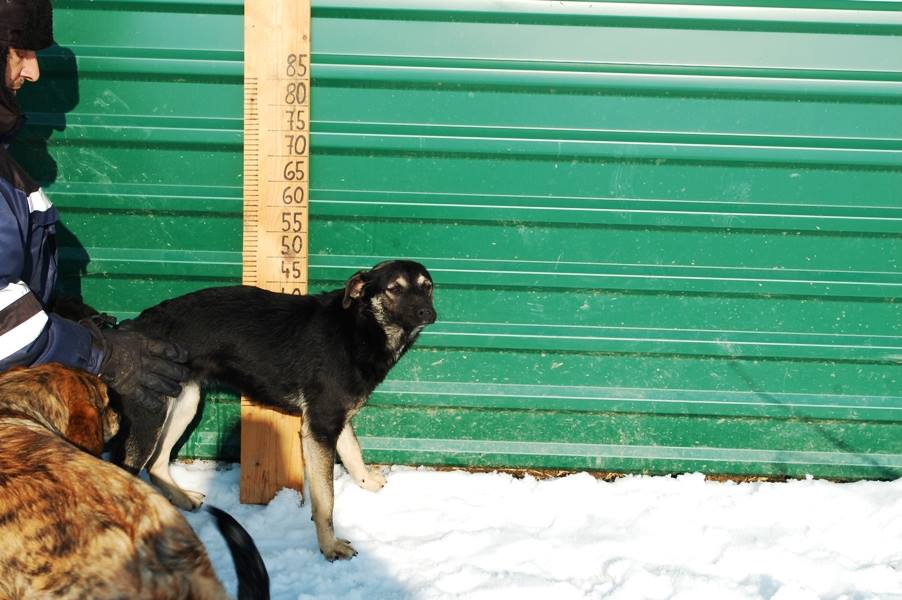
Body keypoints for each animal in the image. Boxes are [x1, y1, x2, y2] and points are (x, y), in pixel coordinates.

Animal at [119, 259, 437, 560]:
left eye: (427, 287)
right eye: (394, 289)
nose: (428, 313)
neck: (360, 329)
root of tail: (133, 325)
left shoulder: (334, 417)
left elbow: (353, 453)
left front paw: (368, 483)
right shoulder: (320, 427)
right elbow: (326, 499)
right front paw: (330, 546)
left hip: (184, 405)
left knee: (157, 463)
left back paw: (181, 500)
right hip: (151, 418)